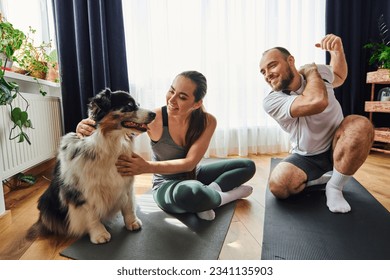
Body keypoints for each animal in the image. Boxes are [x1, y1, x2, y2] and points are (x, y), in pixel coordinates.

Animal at [29, 88, 155, 244]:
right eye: (129, 105)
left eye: (137, 104)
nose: (154, 114)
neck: (110, 142)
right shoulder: (83, 189)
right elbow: (91, 214)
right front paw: (99, 234)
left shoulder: (126, 181)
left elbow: (129, 205)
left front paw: (132, 222)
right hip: (46, 203)